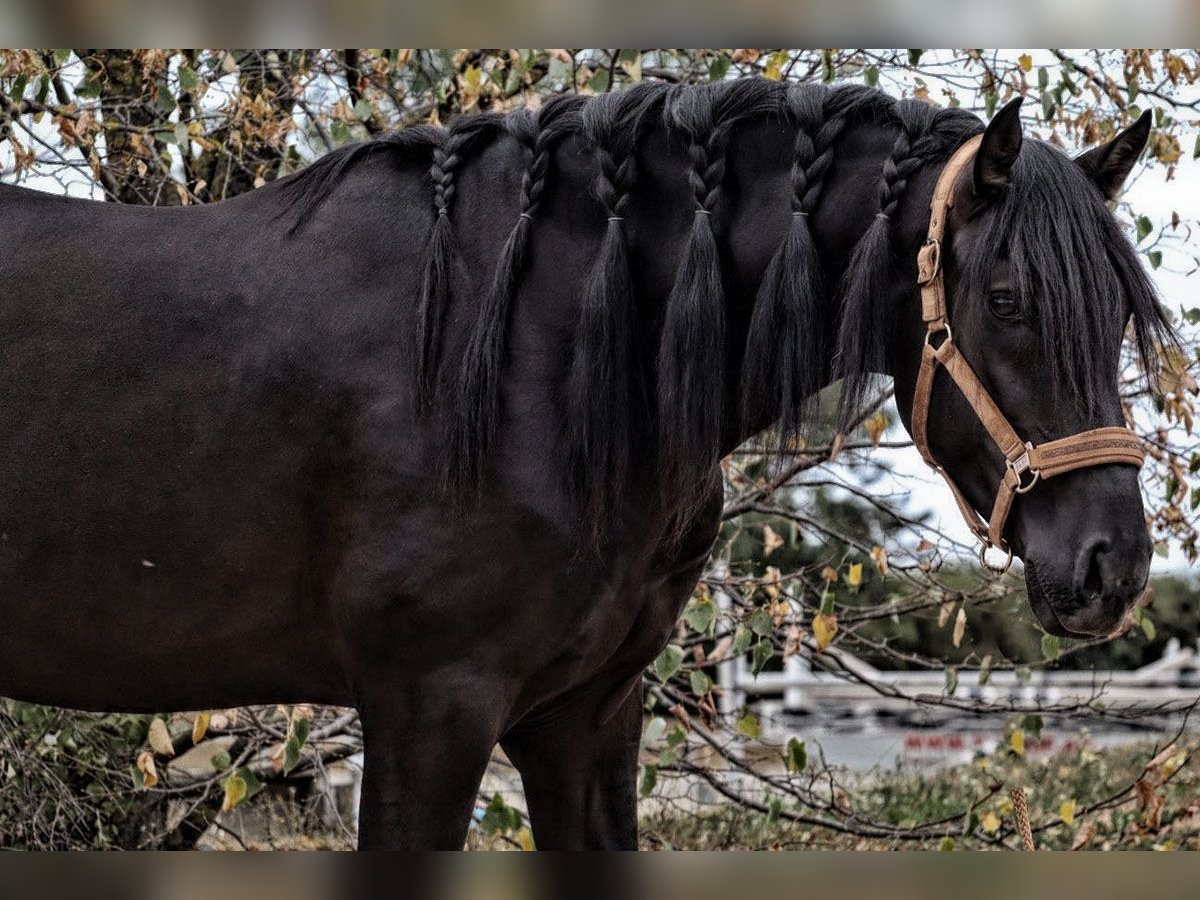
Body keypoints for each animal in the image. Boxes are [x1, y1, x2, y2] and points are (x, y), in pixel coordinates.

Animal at [0, 81, 1166, 849]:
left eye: (1119, 315)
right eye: (1008, 302)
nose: (1112, 566)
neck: (525, 352)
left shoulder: (586, 718)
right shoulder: (430, 709)